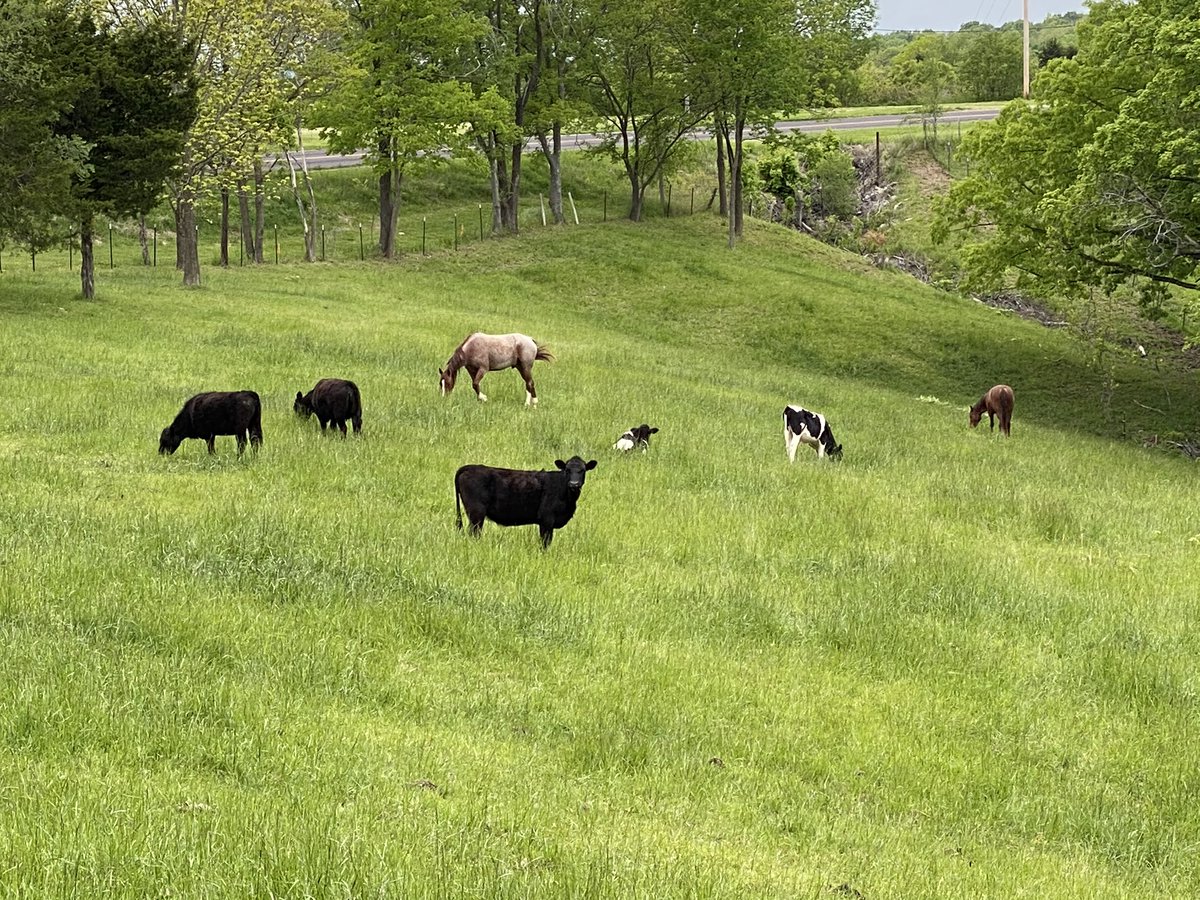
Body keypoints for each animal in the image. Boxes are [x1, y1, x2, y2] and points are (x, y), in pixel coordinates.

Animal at [454, 456, 598, 549]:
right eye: (567, 470)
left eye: (582, 470)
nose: (574, 484)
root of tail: (469, 467)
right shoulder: (546, 520)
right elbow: (545, 543)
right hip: (476, 513)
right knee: (474, 533)